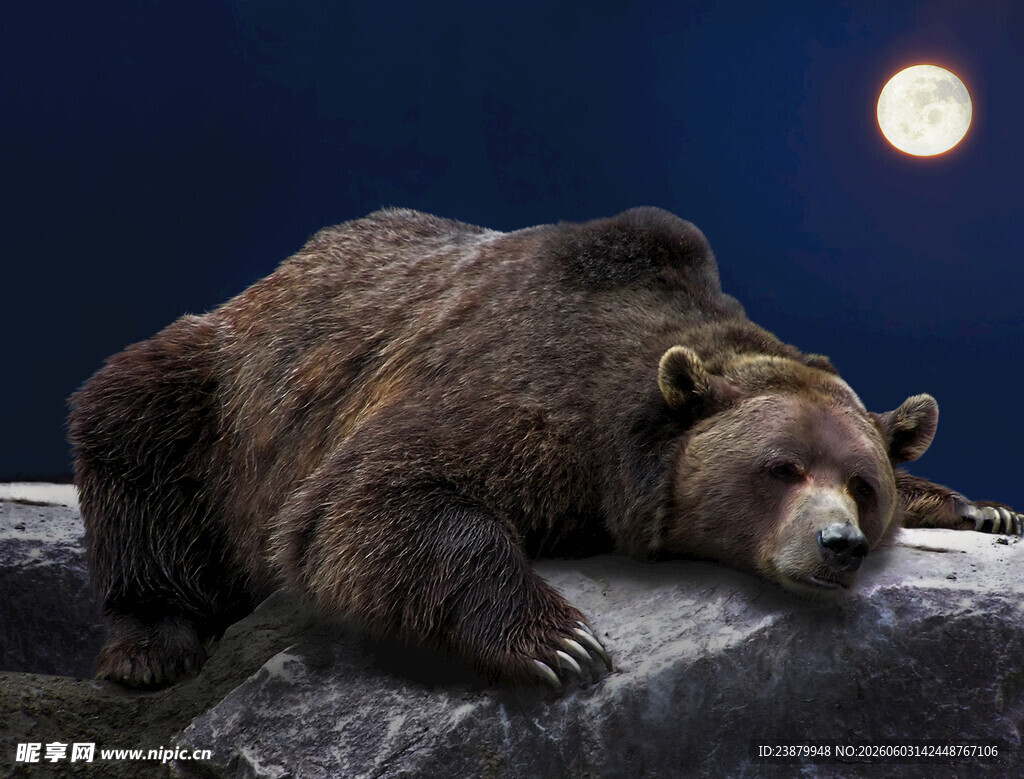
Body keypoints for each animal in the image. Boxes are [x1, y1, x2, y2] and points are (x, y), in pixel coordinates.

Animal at [68, 207, 1022, 690]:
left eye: (861, 483)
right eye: (780, 467)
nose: (838, 544)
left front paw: (985, 506)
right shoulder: (524, 389)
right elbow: (374, 497)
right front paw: (559, 642)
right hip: (224, 394)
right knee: (134, 430)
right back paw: (152, 642)